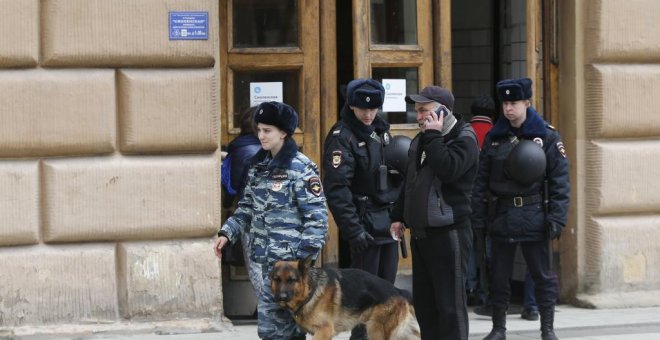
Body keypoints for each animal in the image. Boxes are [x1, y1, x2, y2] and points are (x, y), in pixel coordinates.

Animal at [270, 256, 420, 338]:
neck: (311, 291)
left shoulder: (324, 330)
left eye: (291, 280)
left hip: (377, 331)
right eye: (277, 279)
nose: (281, 297)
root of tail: (399, 290)